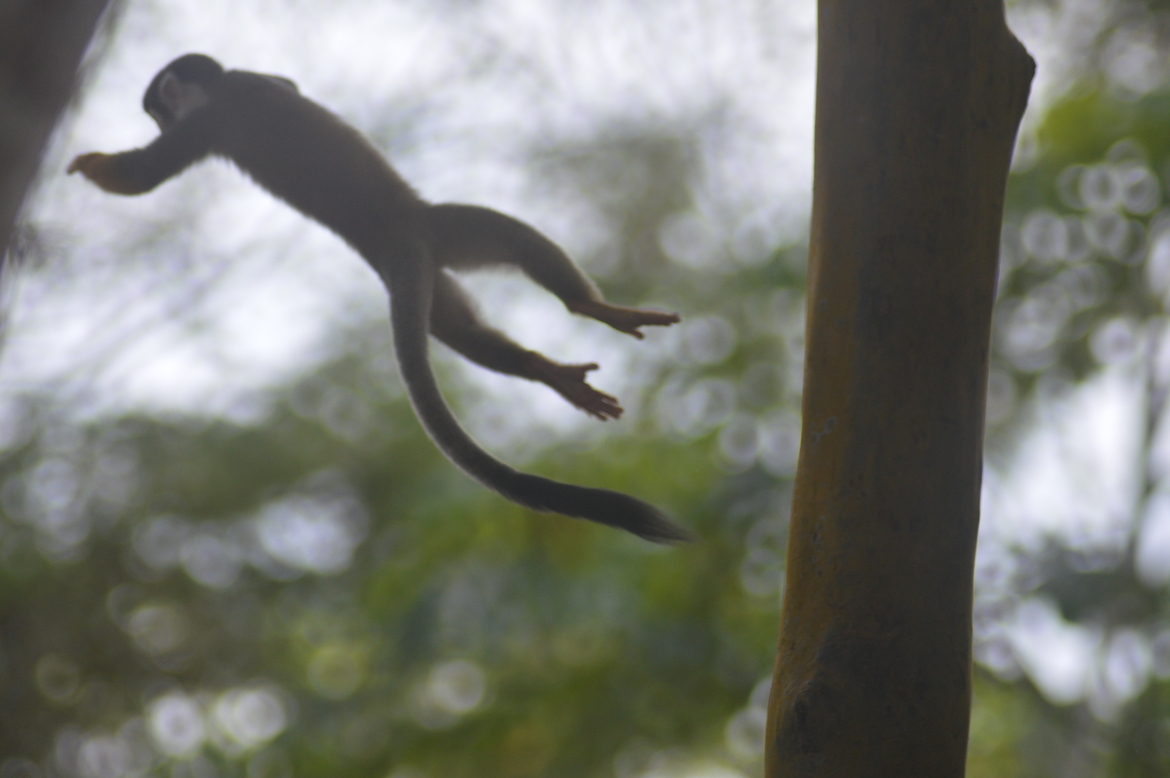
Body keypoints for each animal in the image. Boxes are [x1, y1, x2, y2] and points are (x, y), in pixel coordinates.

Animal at [69, 54, 691, 543]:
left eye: (157, 112)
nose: (156, 117)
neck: (222, 87)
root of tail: (402, 242)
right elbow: (285, 84)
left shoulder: (207, 121)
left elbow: (143, 176)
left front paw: (87, 164)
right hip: (434, 259)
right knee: (465, 326)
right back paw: (550, 370)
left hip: (439, 229)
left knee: (515, 243)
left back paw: (588, 308)